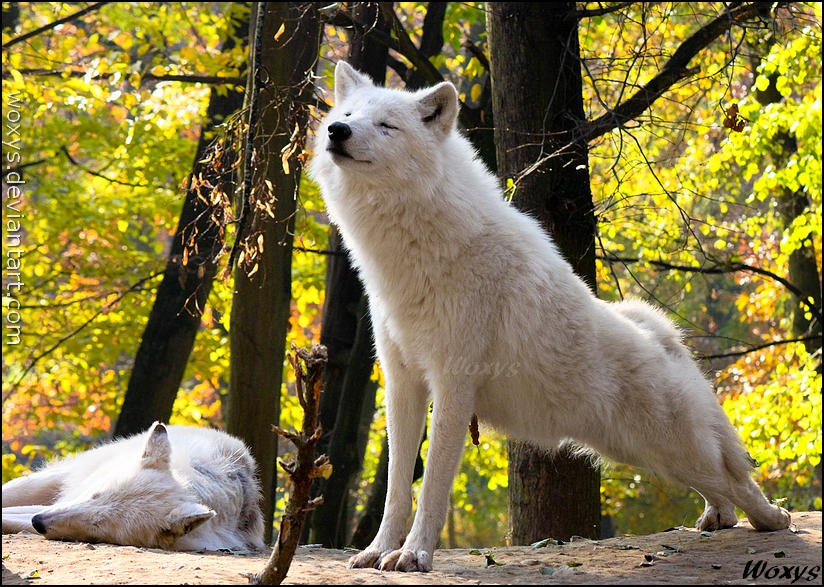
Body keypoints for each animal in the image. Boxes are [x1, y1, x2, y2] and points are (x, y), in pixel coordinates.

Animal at [308, 62, 792, 572]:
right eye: (347, 114)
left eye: (386, 125)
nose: (336, 130)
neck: (412, 249)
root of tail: (658, 334)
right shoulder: (401, 383)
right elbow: (397, 488)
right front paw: (378, 550)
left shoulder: (453, 384)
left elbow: (433, 486)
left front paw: (414, 555)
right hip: (641, 452)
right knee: (720, 485)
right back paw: (719, 518)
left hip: (666, 447)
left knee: (735, 478)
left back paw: (773, 520)